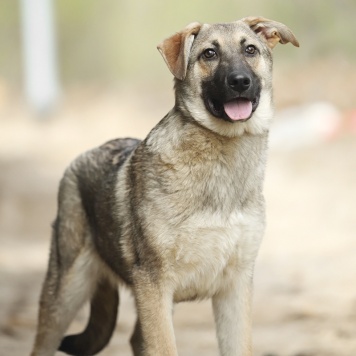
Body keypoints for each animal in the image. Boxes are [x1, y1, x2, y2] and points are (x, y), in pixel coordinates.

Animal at [29, 16, 298, 356]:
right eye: (209, 54)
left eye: (250, 50)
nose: (239, 81)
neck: (221, 164)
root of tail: (89, 152)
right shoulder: (154, 285)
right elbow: (163, 347)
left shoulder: (234, 289)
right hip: (64, 294)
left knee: (135, 339)